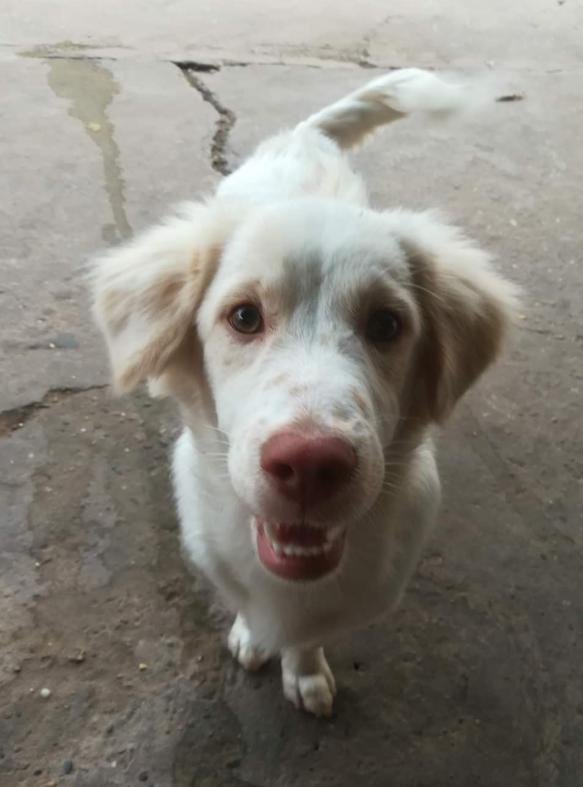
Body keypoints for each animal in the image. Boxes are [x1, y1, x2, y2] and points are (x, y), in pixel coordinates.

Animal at [92, 71, 520, 716]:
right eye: (244, 316)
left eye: (387, 325)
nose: (311, 465)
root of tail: (301, 138)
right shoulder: (216, 551)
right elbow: (246, 602)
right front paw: (252, 636)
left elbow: (312, 635)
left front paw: (306, 672)